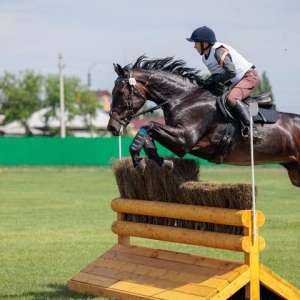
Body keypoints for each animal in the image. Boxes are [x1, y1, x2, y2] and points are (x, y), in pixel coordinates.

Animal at [107, 55, 300, 188]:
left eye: (120, 92)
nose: (112, 127)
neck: (183, 99)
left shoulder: (184, 141)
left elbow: (149, 125)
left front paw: (139, 161)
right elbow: (149, 132)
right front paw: (159, 160)